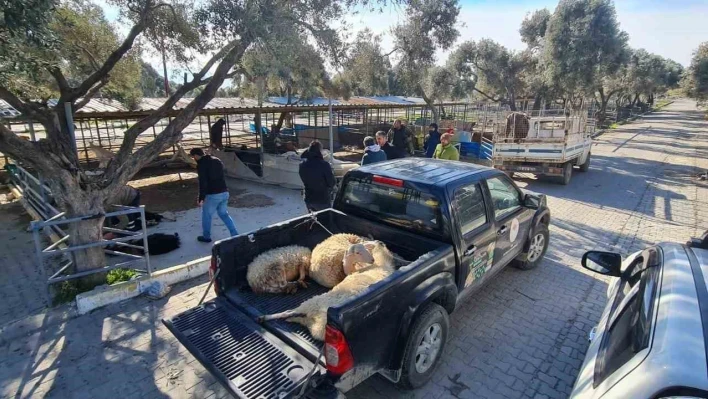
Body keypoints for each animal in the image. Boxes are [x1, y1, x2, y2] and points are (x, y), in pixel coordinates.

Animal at [258, 241, 396, 340]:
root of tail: (311, 313)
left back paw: (279, 318)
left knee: (294, 316)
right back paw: (265, 318)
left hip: (316, 322)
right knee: (290, 313)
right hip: (312, 307)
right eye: (358, 252)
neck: (382, 264)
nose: (379, 242)